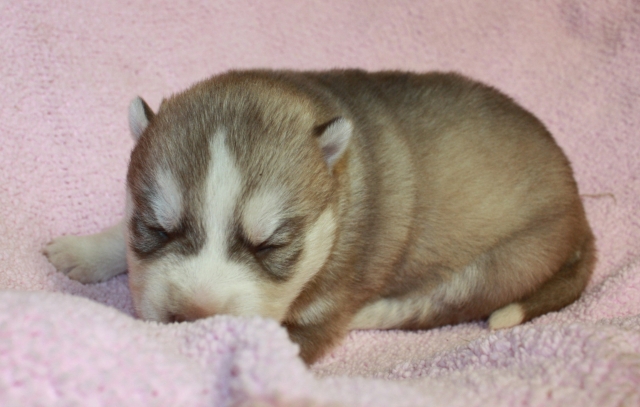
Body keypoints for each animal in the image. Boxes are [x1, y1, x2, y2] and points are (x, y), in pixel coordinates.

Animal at [44, 69, 595, 364]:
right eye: (156, 228)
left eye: (270, 245)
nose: (194, 318)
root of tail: (579, 201)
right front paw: (82, 250)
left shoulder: (321, 309)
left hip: (507, 260)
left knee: (439, 305)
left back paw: (377, 312)